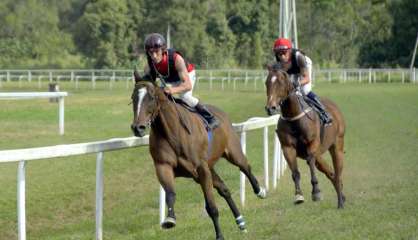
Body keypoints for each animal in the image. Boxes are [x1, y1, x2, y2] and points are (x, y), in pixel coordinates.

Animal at [131, 79, 266, 239]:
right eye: (133, 98)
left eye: (151, 98)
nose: (137, 127)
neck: (173, 133)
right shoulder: (164, 166)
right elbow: (170, 194)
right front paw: (170, 219)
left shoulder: (201, 169)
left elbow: (211, 207)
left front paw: (219, 236)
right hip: (206, 169)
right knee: (224, 189)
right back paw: (241, 222)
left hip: (232, 153)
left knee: (245, 167)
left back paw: (260, 191)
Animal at [264, 63, 346, 208]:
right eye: (266, 82)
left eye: (280, 82)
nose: (271, 108)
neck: (294, 117)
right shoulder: (288, 148)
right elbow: (295, 172)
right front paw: (298, 195)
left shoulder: (312, 144)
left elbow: (310, 161)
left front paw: (316, 191)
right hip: (320, 154)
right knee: (330, 173)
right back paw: (341, 196)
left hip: (337, 146)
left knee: (337, 172)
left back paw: (340, 202)